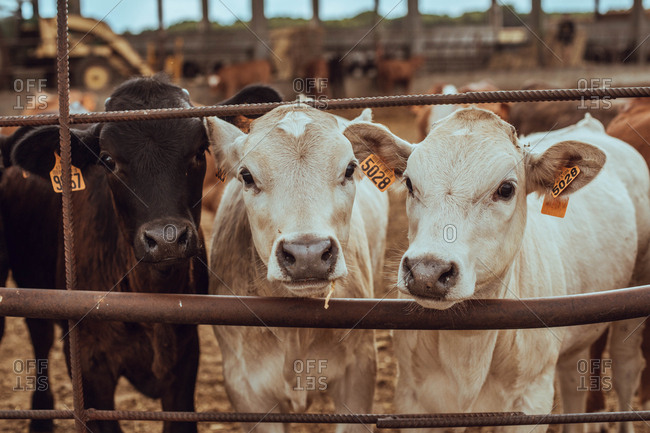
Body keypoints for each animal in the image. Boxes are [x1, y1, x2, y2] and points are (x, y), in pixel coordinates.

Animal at [204, 104, 388, 433]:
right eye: (246, 176)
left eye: (350, 169)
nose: (308, 253)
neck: (296, 332)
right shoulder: (246, 388)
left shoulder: (360, 373)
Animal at [344, 109, 650, 433]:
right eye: (410, 183)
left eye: (505, 189)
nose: (427, 272)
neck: (468, 347)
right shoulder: (412, 399)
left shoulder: (532, 399)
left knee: (626, 367)